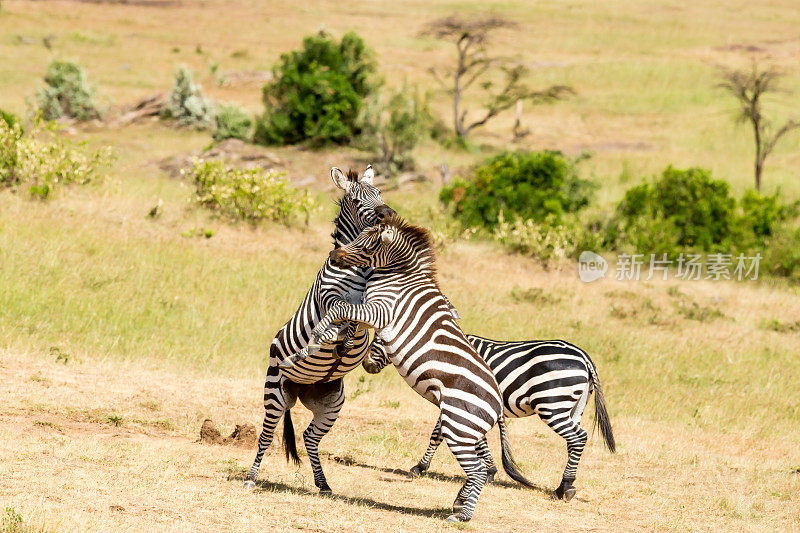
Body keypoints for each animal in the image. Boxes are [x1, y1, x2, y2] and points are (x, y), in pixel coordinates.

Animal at [242, 165, 396, 494]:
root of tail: (301, 389)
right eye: (356, 199)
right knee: (266, 435)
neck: (358, 270)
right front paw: (329, 343)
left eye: (379, 193)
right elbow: (338, 320)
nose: (388, 214)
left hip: (331, 403)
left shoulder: (374, 308)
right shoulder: (330, 301)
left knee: (310, 437)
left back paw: (323, 483)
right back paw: (250, 477)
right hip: (274, 393)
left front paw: (354, 347)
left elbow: (363, 324)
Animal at [306, 213, 536, 520]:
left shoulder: (381, 311)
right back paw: (460, 503)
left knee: (476, 470)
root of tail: (498, 403)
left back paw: (462, 515)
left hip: (459, 426)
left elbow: (342, 309)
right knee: (480, 467)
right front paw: (341, 342)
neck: (398, 275)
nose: (333, 255)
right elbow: (349, 317)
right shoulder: (371, 310)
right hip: (469, 430)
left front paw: (319, 332)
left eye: (366, 245)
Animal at [366, 334, 616, 500]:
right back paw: (566, 486)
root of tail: (583, 356)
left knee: (578, 438)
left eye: (378, 339)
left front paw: (419, 467)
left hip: (552, 404)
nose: (367, 365)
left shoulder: (455, 398)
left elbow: (438, 434)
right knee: (574, 442)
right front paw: (490, 471)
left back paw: (564, 488)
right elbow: (476, 438)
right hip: (574, 407)